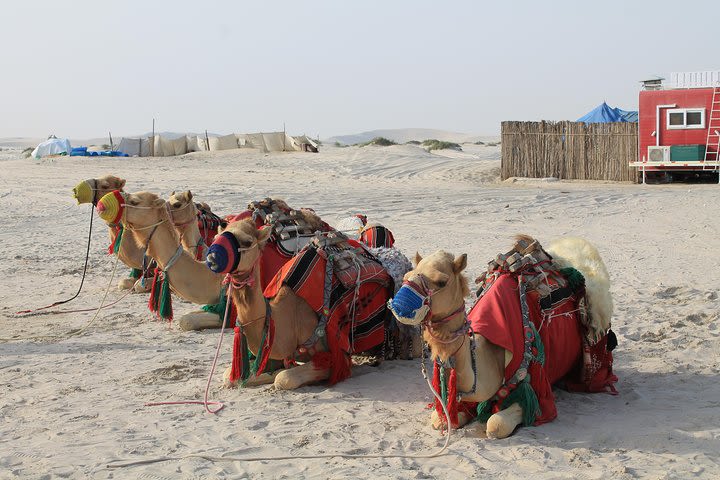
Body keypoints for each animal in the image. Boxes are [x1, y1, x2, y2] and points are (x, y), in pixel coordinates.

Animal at [208, 218, 394, 390]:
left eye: (247, 241)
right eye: (216, 237)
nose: (212, 257)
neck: (290, 315)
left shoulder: (337, 356)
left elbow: (283, 378)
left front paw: (279, 373)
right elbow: (231, 377)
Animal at [390, 236, 616, 438]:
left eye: (441, 282)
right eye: (407, 275)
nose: (399, 306)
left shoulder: (531, 388)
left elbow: (496, 424)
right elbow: (440, 419)